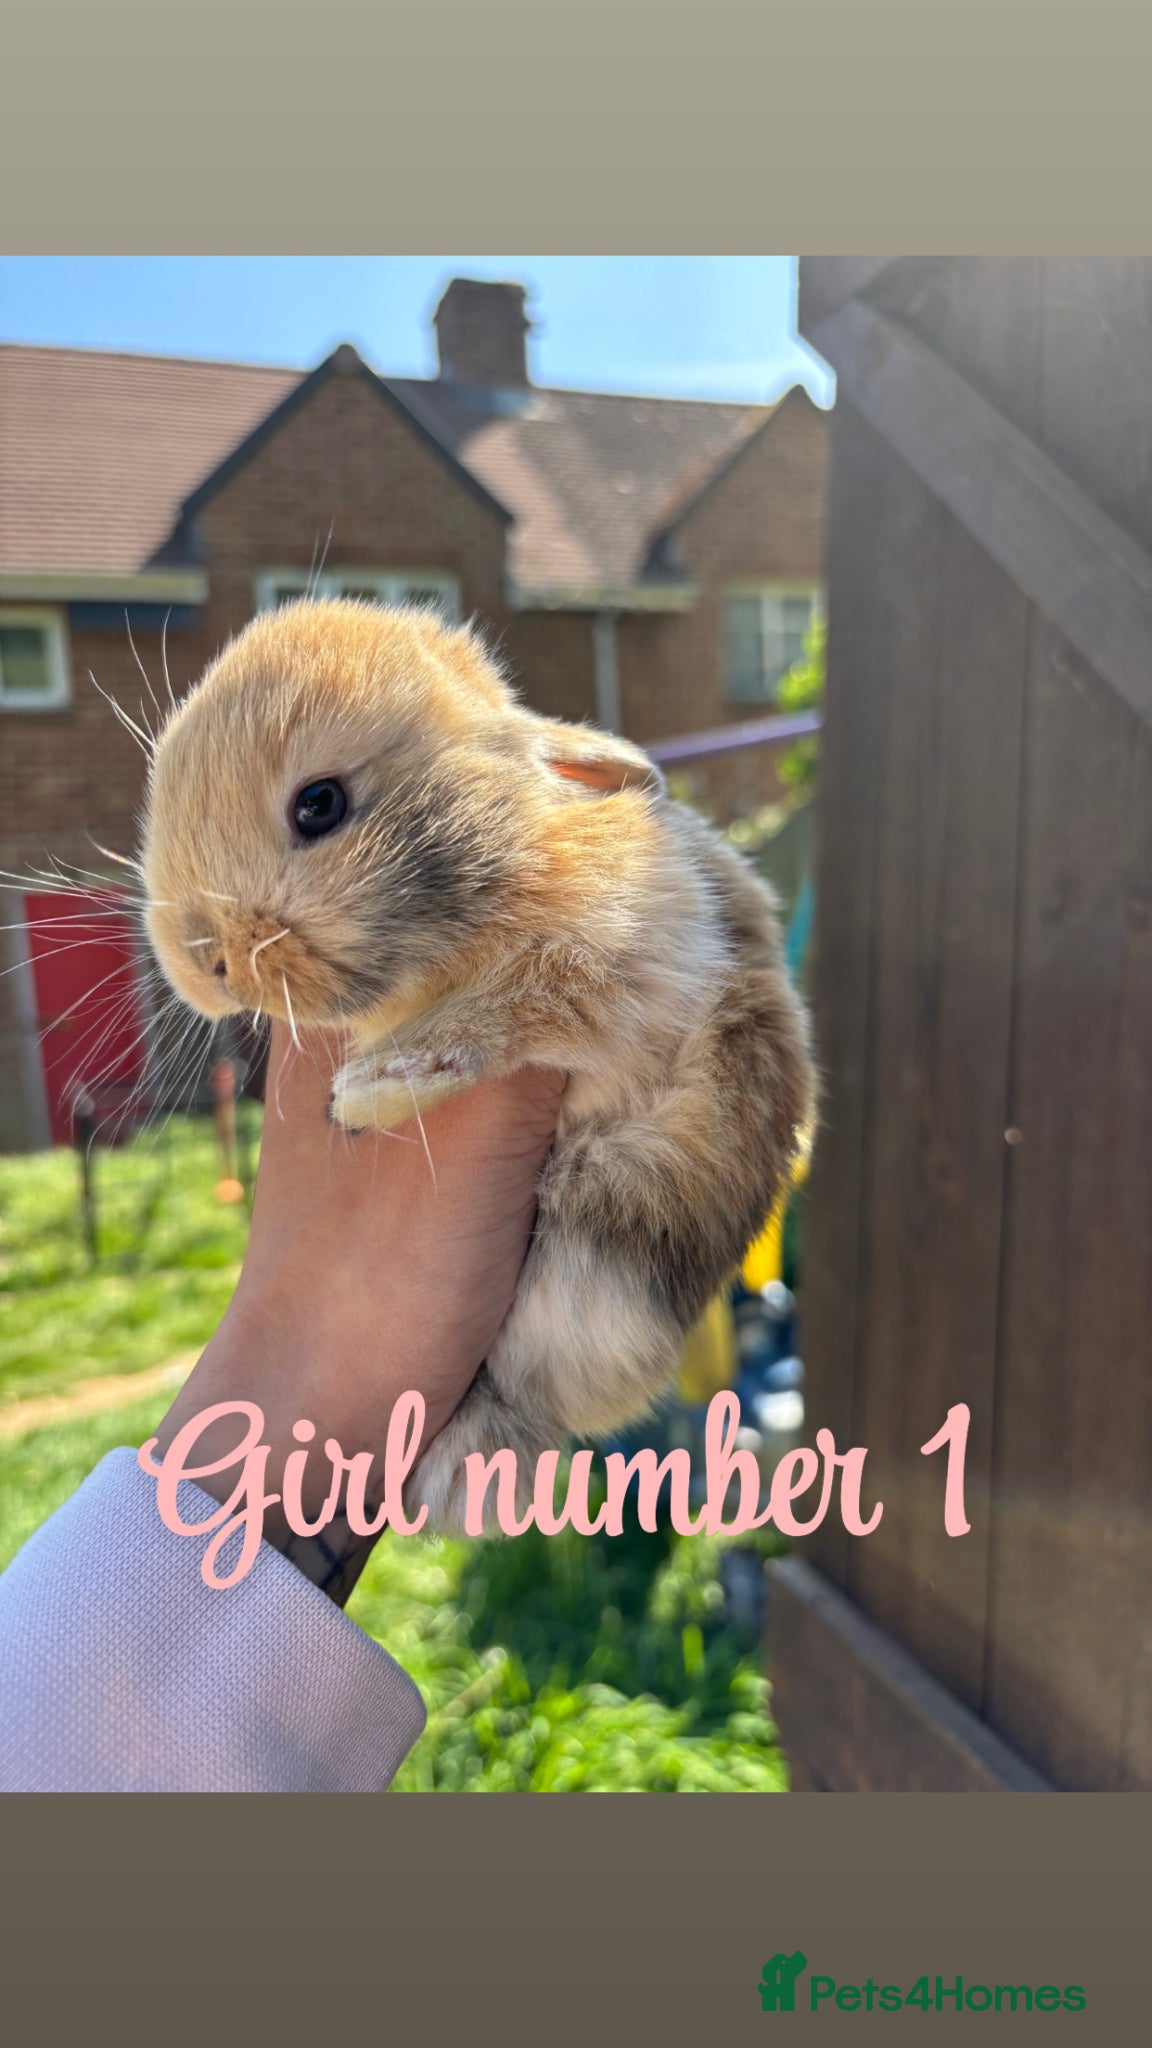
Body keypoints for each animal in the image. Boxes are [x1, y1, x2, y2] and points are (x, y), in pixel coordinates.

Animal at [140, 598, 816, 1534]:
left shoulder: (625, 957)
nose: (205, 963)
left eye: (319, 804)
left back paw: (458, 1484)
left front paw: (368, 1091)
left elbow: (507, 1008)